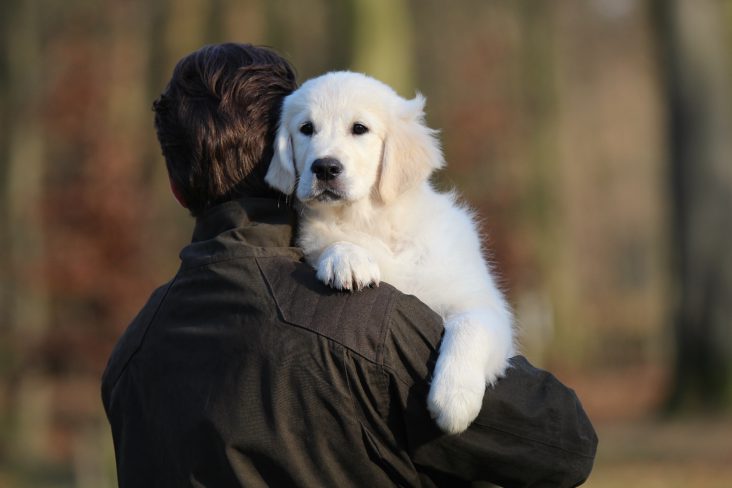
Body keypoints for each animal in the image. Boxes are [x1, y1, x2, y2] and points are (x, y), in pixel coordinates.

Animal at [264, 70, 516, 432]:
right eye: (306, 128)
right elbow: (333, 241)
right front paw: (348, 259)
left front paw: (454, 398)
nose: (324, 168)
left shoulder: (483, 305)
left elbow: (472, 326)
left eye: (359, 128)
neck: (376, 222)